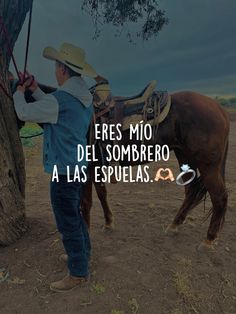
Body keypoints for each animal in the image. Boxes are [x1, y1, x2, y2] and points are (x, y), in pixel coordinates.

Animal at [80, 89, 229, 249]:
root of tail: (219, 108)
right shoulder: (95, 165)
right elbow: (102, 194)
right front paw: (108, 223)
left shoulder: (85, 168)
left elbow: (86, 201)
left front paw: (86, 232)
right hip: (185, 157)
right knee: (191, 190)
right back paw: (174, 225)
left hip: (208, 166)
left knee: (219, 197)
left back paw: (209, 239)